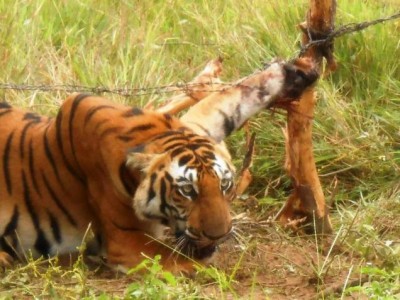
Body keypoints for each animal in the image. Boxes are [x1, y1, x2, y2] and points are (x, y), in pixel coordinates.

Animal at [0, 57, 318, 274]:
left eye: (225, 185)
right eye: (188, 191)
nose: (219, 235)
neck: (148, 134)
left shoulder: (198, 125)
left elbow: (230, 98)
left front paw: (292, 73)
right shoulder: (127, 242)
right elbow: (192, 262)